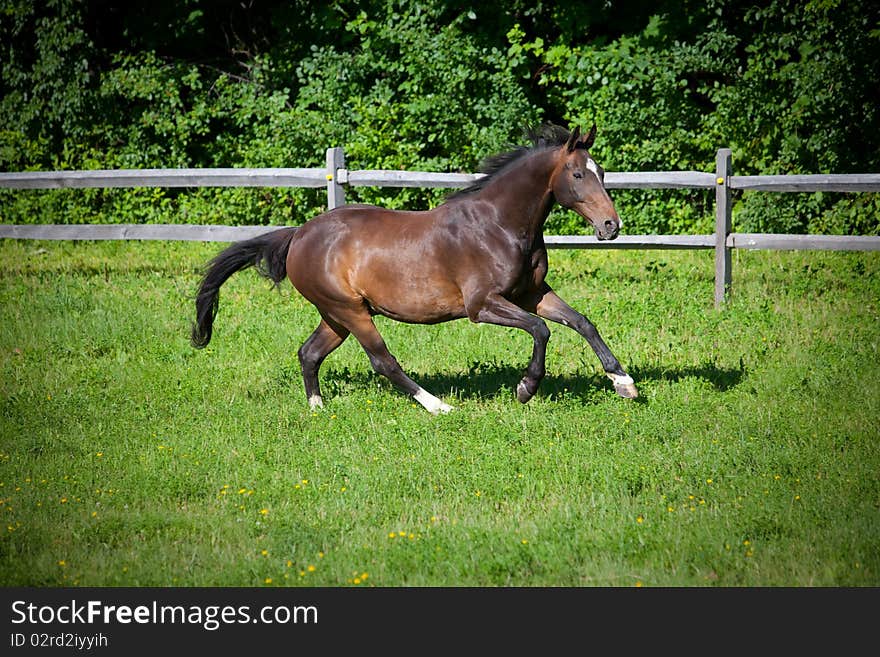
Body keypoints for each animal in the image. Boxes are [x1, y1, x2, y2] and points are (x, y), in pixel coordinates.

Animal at [191, 121, 640, 416]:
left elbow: (581, 322)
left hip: (336, 314)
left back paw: (318, 409)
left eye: (602, 173)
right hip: (350, 311)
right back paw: (438, 406)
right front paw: (525, 388)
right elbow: (541, 330)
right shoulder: (482, 305)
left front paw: (624, 383)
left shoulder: (531, 293)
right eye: (578, 174)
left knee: (309, 352)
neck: (498, 224)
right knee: (382, 361)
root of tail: (299, 235)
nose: (610, 226)